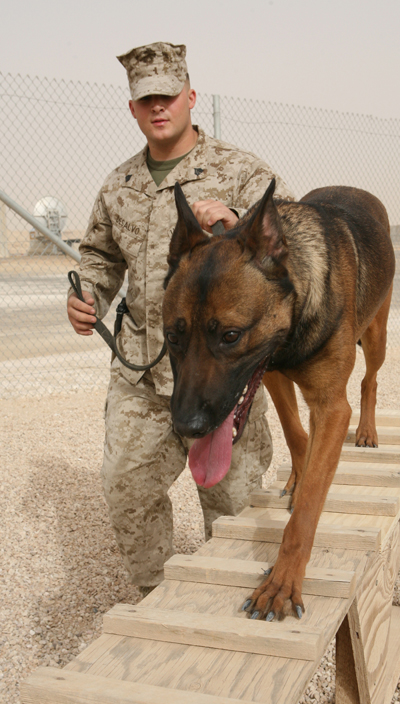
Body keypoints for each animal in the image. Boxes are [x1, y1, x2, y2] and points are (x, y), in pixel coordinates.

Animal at [162, 180, 394, 620]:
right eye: (172, 336)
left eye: (230, 336)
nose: (186, 427)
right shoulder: (269, 374)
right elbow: (296, 436)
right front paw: (298, 479)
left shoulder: (333, 408)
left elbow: (307, 511)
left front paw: (283, 584)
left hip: (376, 336)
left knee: (370, 380)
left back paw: (368, 431)